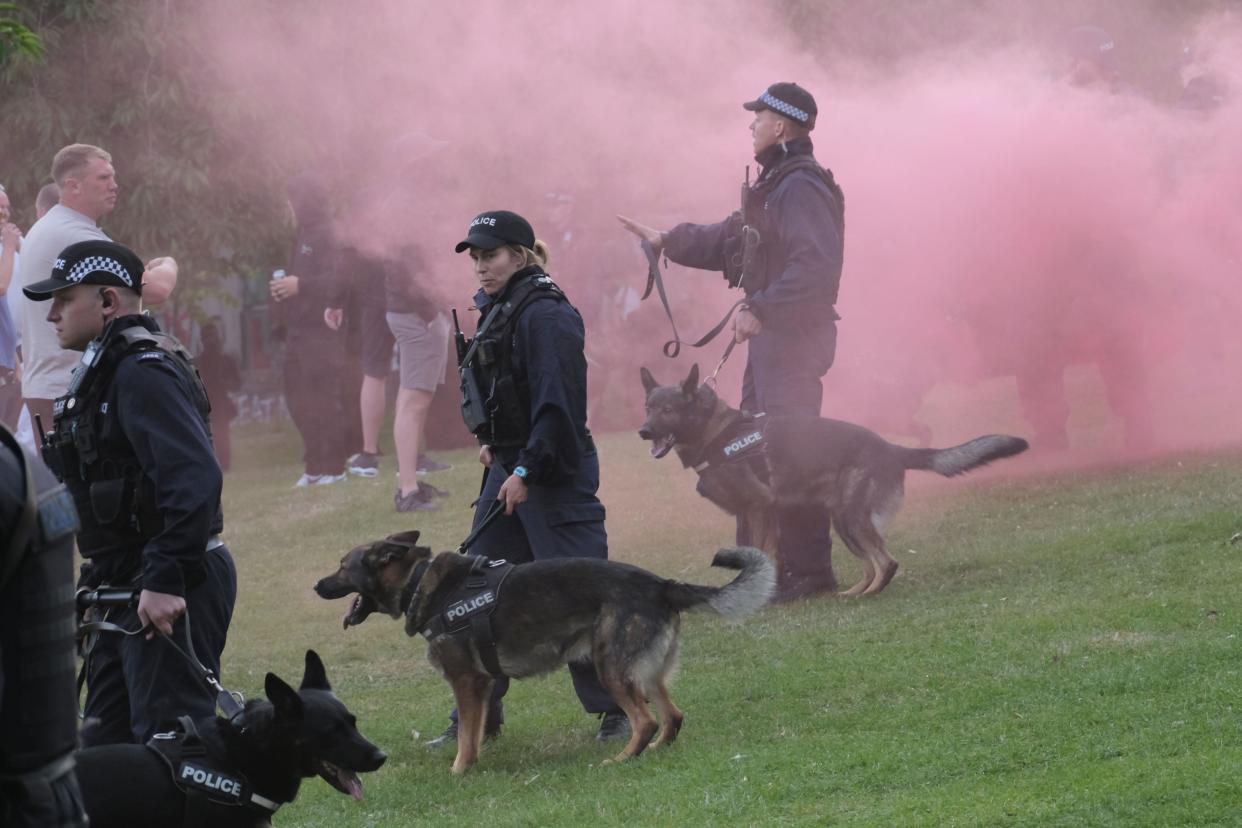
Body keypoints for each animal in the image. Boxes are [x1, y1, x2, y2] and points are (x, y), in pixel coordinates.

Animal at [312, 533, 775, 774]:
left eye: (341, 566)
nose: (316, 586)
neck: (419, 581)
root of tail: (662, 584)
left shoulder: (467, 681)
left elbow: (465, 734)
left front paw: (458, 770)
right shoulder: (483, 686)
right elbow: (473, 731)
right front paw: (473, 762)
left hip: (610, 668)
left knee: (643, 720)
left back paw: (623, 758)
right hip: (645, 673)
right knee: (673, 716)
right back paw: (656, 751)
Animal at [640, 364, 1028, 595]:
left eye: (668, 410)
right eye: (648, 407)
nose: (643, 431)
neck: (715, 433)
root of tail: (891, 449)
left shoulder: (758, 507)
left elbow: (760, 550)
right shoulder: (757, 512)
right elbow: (764, 552)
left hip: (849, 518)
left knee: (887, 562)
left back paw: (868, 596)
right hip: (844, 523)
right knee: (872, 565)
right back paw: (854, 592)